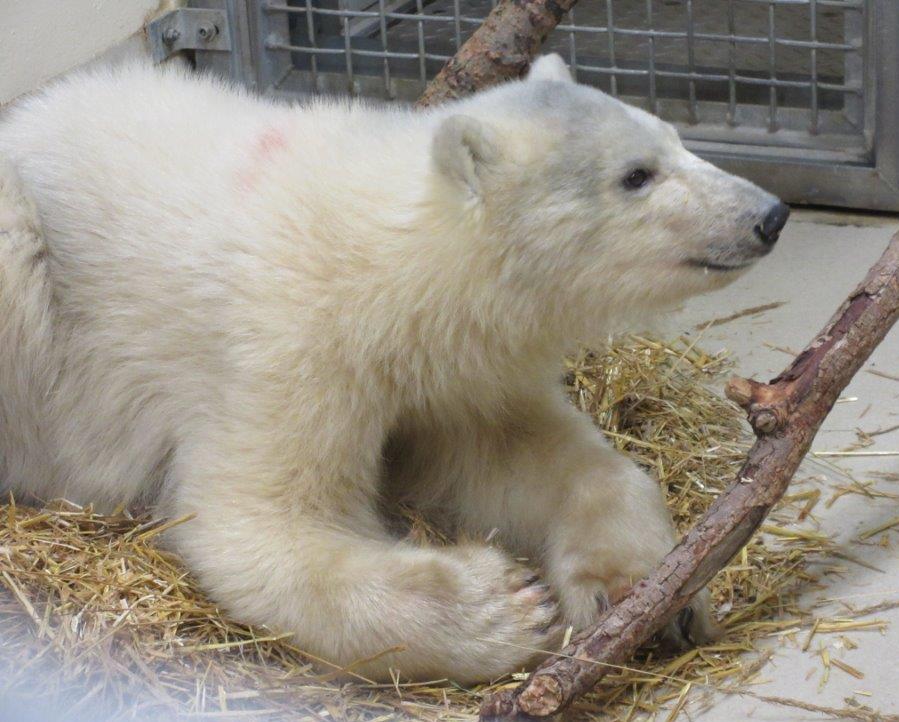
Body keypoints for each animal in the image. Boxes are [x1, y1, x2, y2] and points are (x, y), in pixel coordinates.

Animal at [0, 54, 788, 683]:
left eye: (675, 137)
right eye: (635, 176)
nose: (769, 215)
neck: (380, 265)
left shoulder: (445, 363)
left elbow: (510, 450)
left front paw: (635, 590)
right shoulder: (284, 349)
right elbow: (260, 524)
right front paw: (502, 605)